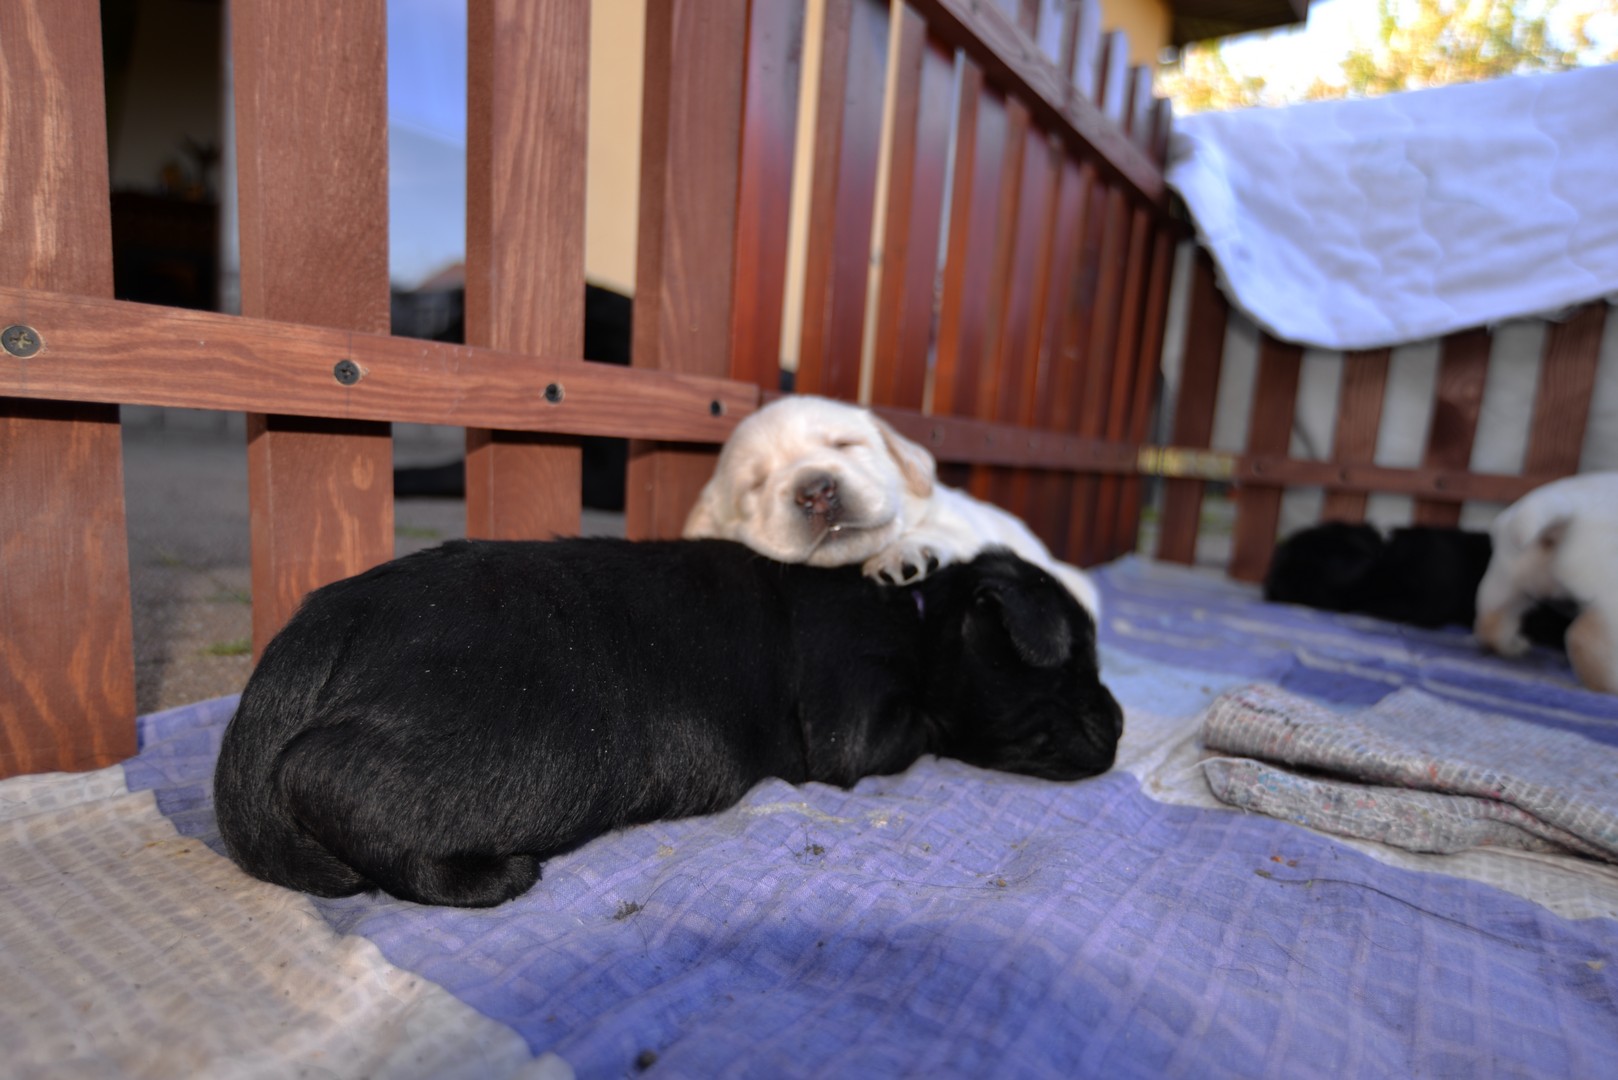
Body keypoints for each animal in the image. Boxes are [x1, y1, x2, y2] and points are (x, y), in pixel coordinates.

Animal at [213, 539, 1123, 908]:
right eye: (1069, 660)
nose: (1118, 725)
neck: (918, 613)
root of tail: (318, 628)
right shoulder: (857, 723)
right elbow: (927, 725)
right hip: (532, 751)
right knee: (335, 777)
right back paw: (486, 878)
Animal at [683, 395, 1101, 617]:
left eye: (845, 444)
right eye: (755, 484)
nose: (816, 491)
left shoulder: (961, 518)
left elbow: (943, 529)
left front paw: (901, 555)